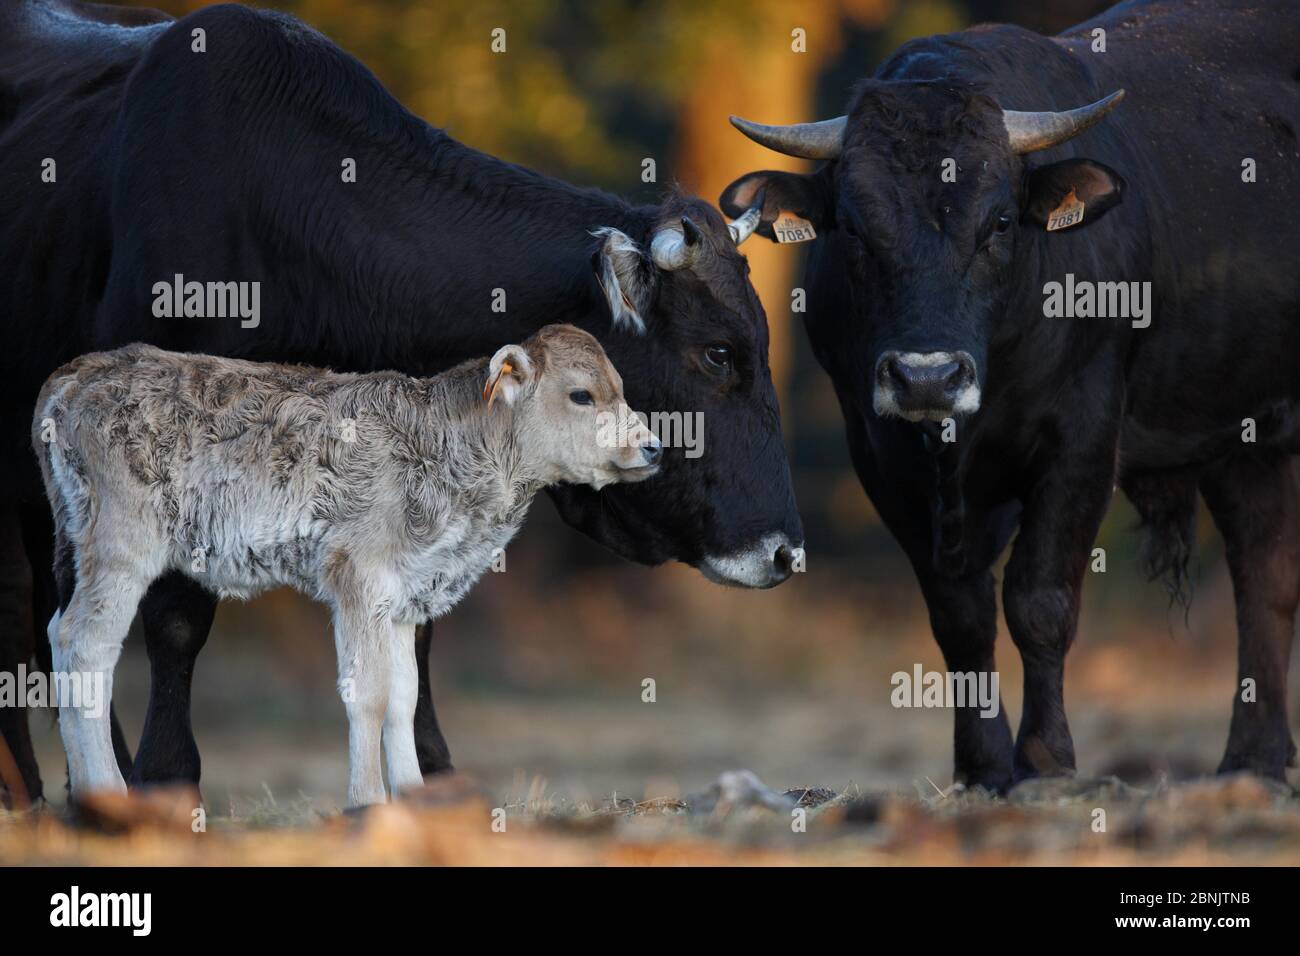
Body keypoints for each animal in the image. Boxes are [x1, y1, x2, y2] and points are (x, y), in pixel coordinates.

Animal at [0, 0, 800, 806]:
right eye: (718, 353)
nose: (785, 550)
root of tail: (68, 384)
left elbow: (409, 666)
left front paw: (427, 784)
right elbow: (190, 625)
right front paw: (175, 780)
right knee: (70, 635)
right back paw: (84, 790)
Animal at [722, 0, 1300, 790]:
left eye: (998, 222)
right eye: (856, 229)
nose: (927, 376)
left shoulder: (1084, 436)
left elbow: (1040, 600)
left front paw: (1047, 759)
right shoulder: (882, 452)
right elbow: (960, 617)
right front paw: (983, 766)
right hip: (1246, 432)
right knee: (1263, 569)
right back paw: (1253, 761)